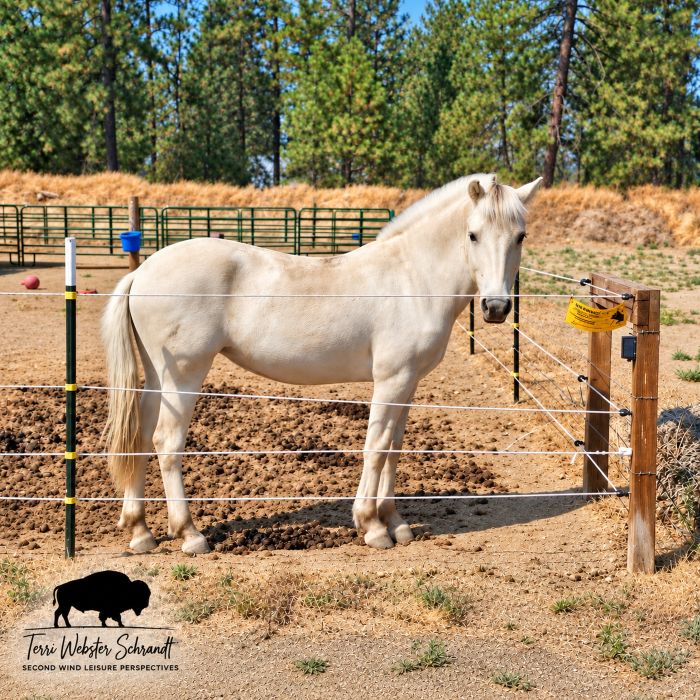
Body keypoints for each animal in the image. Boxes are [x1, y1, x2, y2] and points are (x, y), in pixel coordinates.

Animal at [102, 173, 543, 554]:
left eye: (520, 236)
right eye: (473, 234)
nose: (496, 308)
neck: (411, 279)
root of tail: (143, 271)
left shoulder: (408, 383)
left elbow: (394, 448)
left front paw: (396, 522)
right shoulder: (391, 380)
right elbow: (376, 448)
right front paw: (372, 526)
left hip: (157, 378)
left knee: (140, 437)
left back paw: (141, 531)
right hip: (185, 375)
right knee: (167, 443)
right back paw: (190, 534)